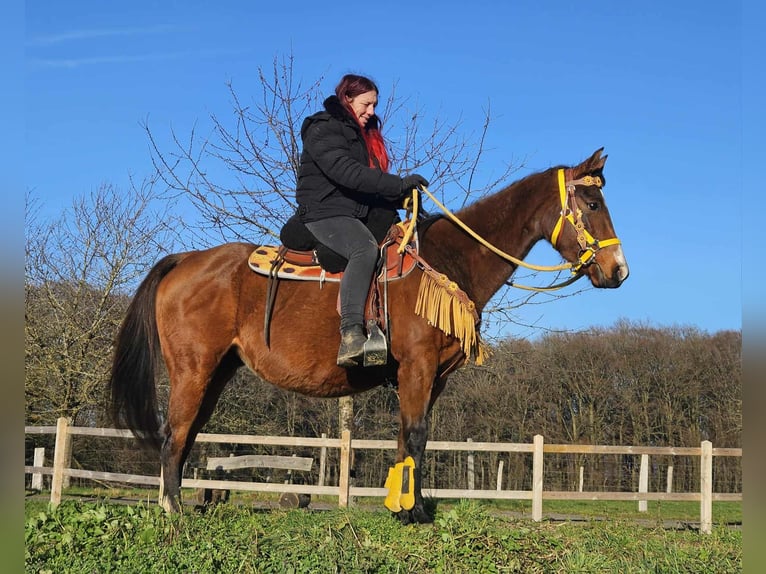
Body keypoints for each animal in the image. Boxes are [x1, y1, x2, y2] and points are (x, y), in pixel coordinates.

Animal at [109, 148, 628, 524]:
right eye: (592, 204)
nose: (618, 270)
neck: (445, 261)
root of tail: (185, 259)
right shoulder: (418, 366)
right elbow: (417, 436)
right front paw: (415, 514)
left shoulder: (430, 378)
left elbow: (405, 439)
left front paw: (401, 509)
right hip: (193, 368)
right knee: (175, 433)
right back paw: (173, 510)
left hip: (217, 371)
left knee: (188, 431)